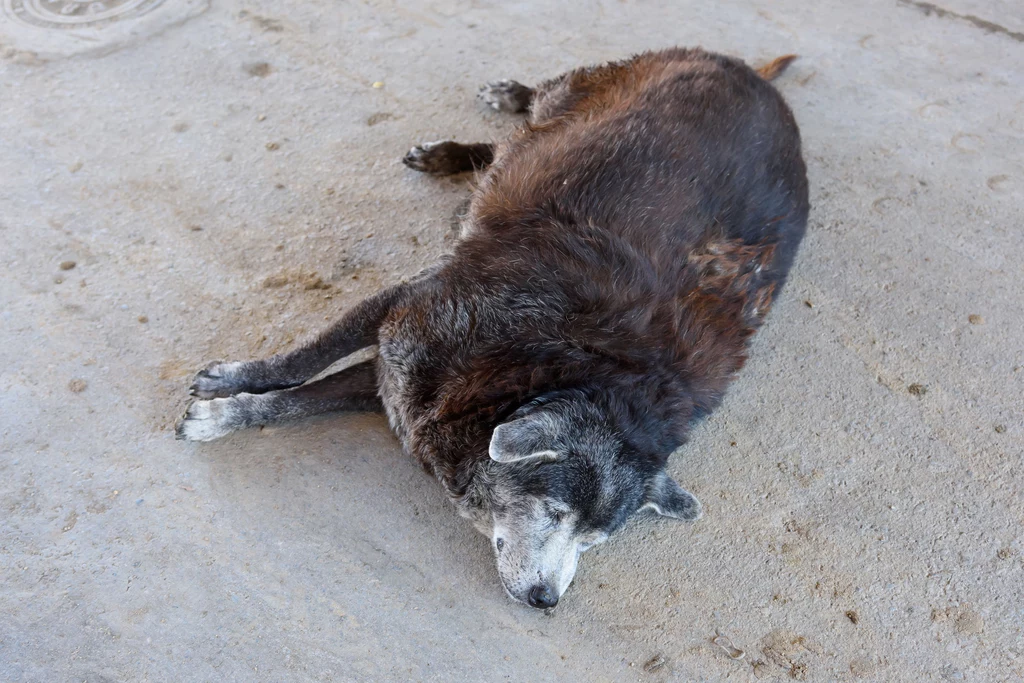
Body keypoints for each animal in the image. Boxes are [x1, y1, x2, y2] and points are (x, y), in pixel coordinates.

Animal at [180, 48, 811, 610]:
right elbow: (303, 362)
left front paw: (228, 413)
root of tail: (757, 77)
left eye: (593, 541)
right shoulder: (404, 313)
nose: (547, 601)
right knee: (535, 107)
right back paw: (487, 115)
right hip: (586, 85)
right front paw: (233, 384)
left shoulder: (403, 385)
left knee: (513, 143)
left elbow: (298, 401)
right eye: (555, 514)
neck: (564, 365)